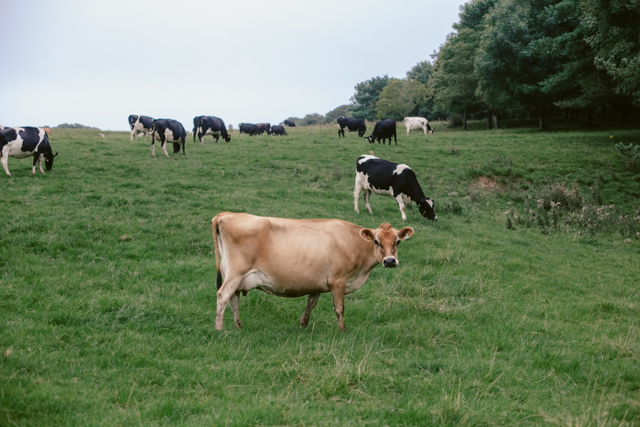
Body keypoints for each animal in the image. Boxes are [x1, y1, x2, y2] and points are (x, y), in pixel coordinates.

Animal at [211, 213, 416, 332]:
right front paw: (342, 329)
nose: (390, 261)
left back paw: (238, 325)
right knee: (223, 295)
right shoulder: (338, 281)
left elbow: (311, 303)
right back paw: (219, 329)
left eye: (397, 241)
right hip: (236, 272)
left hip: (235, 276)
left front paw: (303, 323)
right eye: (376, 241)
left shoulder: (317, 282)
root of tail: (227, 215)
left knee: (234, 298)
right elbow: (339, 308)